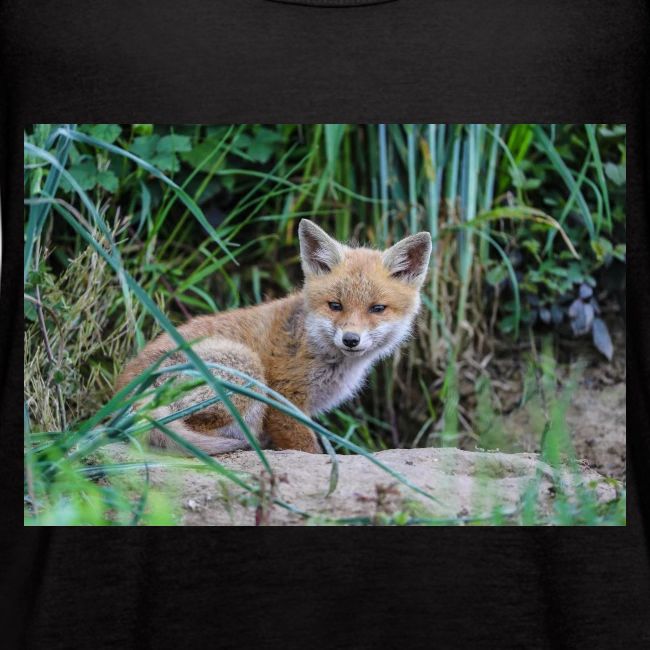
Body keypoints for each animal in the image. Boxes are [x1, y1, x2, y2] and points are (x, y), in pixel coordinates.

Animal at [117, 219, 432, 455]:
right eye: (335, 305)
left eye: (377, 309)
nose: (351, 339)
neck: (313, 344)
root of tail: (124, 395)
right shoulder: (284, 400)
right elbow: (308, 449)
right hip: (246, 369)